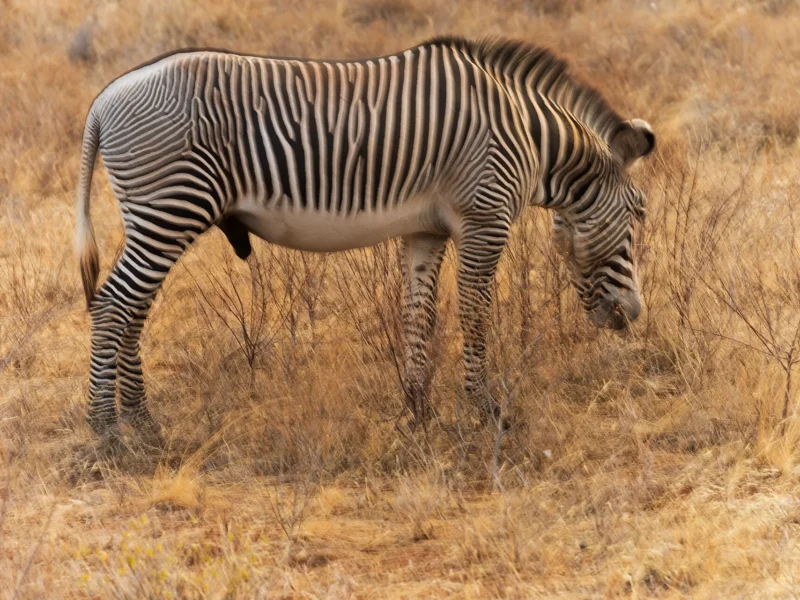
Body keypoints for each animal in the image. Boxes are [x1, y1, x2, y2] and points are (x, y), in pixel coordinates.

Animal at [75, 37, 655, 440]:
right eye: (639, 213)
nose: (632, 316)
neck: (528, 137)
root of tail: (103, 100)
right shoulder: (484, 219)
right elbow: (474, 314)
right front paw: (487, 410)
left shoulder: (425, 231)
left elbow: (419, 314)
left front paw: (419, 411)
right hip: (170, 207)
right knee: (112, 305)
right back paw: (105, 429)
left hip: (158, 216)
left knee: (133, 309)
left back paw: (143, 421)